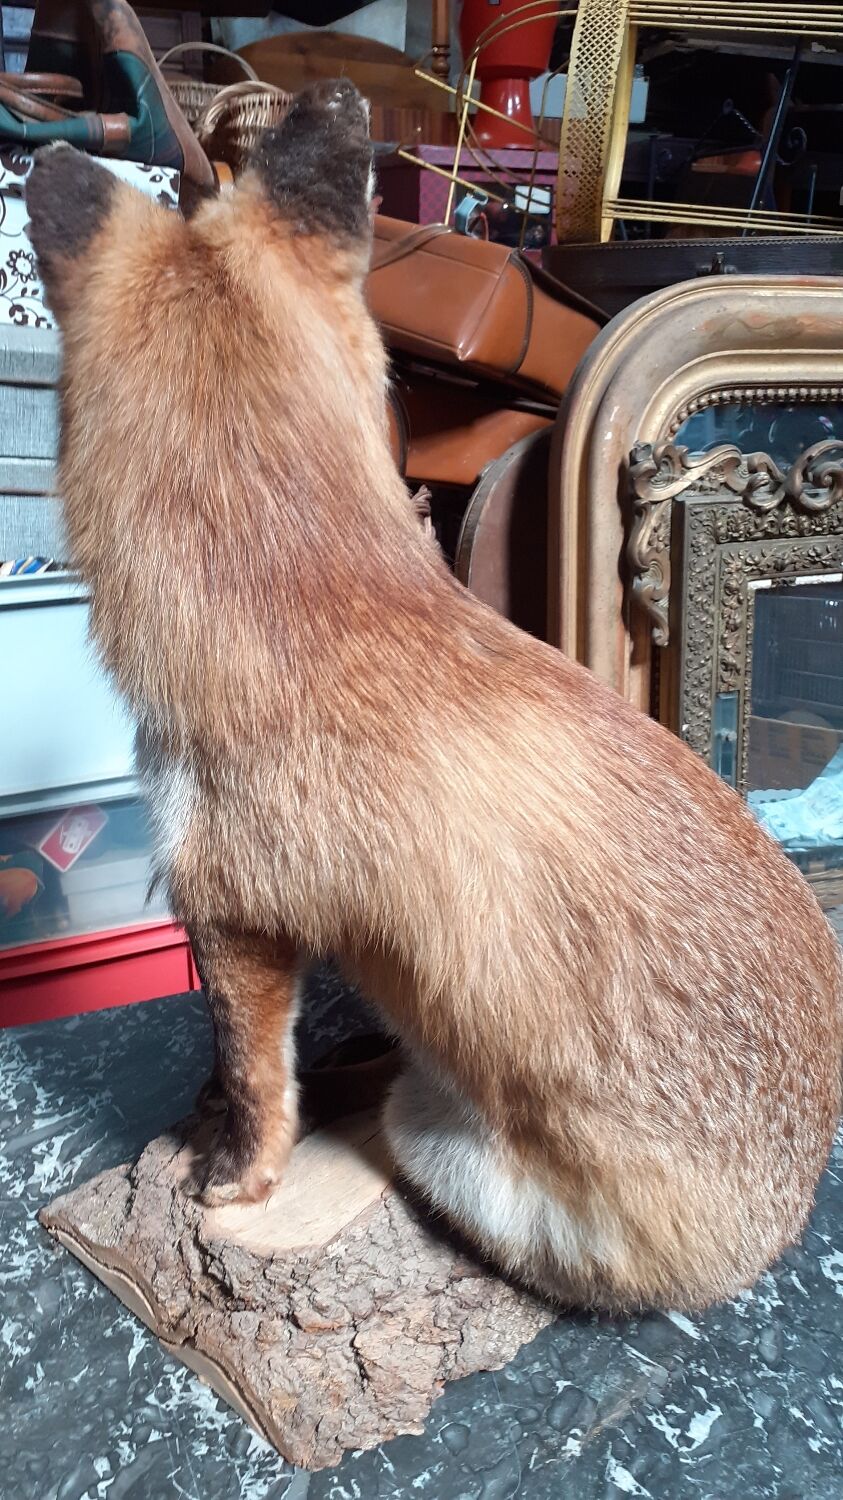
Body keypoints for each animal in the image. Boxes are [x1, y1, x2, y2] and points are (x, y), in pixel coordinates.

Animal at [26, 79, 842, 1313]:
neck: (312, 591)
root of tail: (780, 1229)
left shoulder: (234, 913)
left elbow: (254, 1082)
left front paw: (233, 1175)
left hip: (439, 1134)